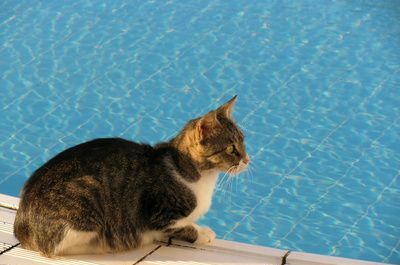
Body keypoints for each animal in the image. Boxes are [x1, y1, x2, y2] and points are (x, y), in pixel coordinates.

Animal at [14, 94, 250, 255]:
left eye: (243, 141)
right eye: (231, 149)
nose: (248, 159)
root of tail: (22, 225)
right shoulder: (160, 216)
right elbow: (183, 227)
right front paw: (202, 233)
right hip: (85, 198)